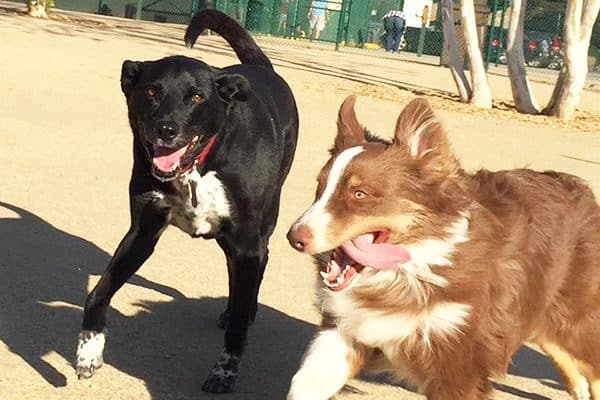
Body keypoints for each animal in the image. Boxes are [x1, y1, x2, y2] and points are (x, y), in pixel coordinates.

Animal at [74, 10, 298, 394]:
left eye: (195, 97)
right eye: (151, 91)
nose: (165, 129)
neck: (197, 166)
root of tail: (261, 68)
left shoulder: (246, 242)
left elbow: (238, 325)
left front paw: (225, 369)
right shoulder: (142, 232)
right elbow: (99, 291)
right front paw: (89, 349)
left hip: (262, 223)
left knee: (260, 261)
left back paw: (246, 309)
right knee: (233, 271)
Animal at [286, 96, 600, 400]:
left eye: (359, 194)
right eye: (320, 188)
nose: (294, 237)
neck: (413, 268)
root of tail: (584, 191)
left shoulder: (457, 365)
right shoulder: (347, 330)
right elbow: (304, 383)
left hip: (573, 316)